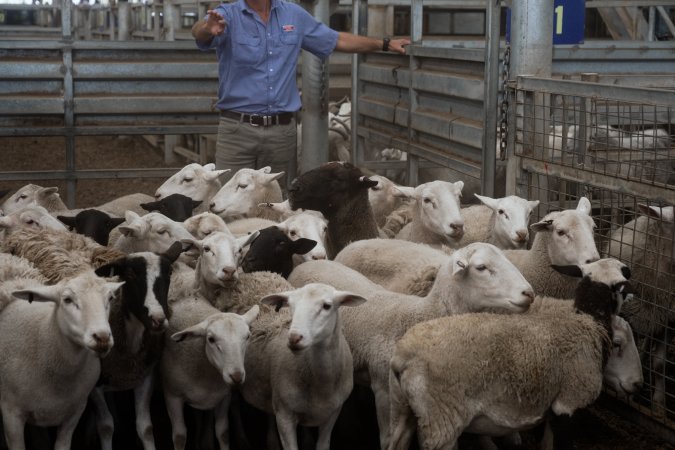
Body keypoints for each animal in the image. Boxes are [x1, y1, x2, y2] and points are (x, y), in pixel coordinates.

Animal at [161, 296, 262, 450]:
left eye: (248, 336)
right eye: (211, 339)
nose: (237, 376)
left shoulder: (223, 396)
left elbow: (223, 432)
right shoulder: (172, 395)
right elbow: (179, 437)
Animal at [240, 284, 368, 450]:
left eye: (327, 306)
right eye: (290, 305)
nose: (294, 338)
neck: (322, 385)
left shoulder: (332, 413)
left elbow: (323, 445)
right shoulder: (284, 416)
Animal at [388, 256, 640, 450]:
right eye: (618, 344)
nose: (638, 385)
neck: (588, 320)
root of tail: (403, 356)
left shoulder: (553, 409)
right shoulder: (570, 402)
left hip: (405, 412)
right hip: (441, 423)